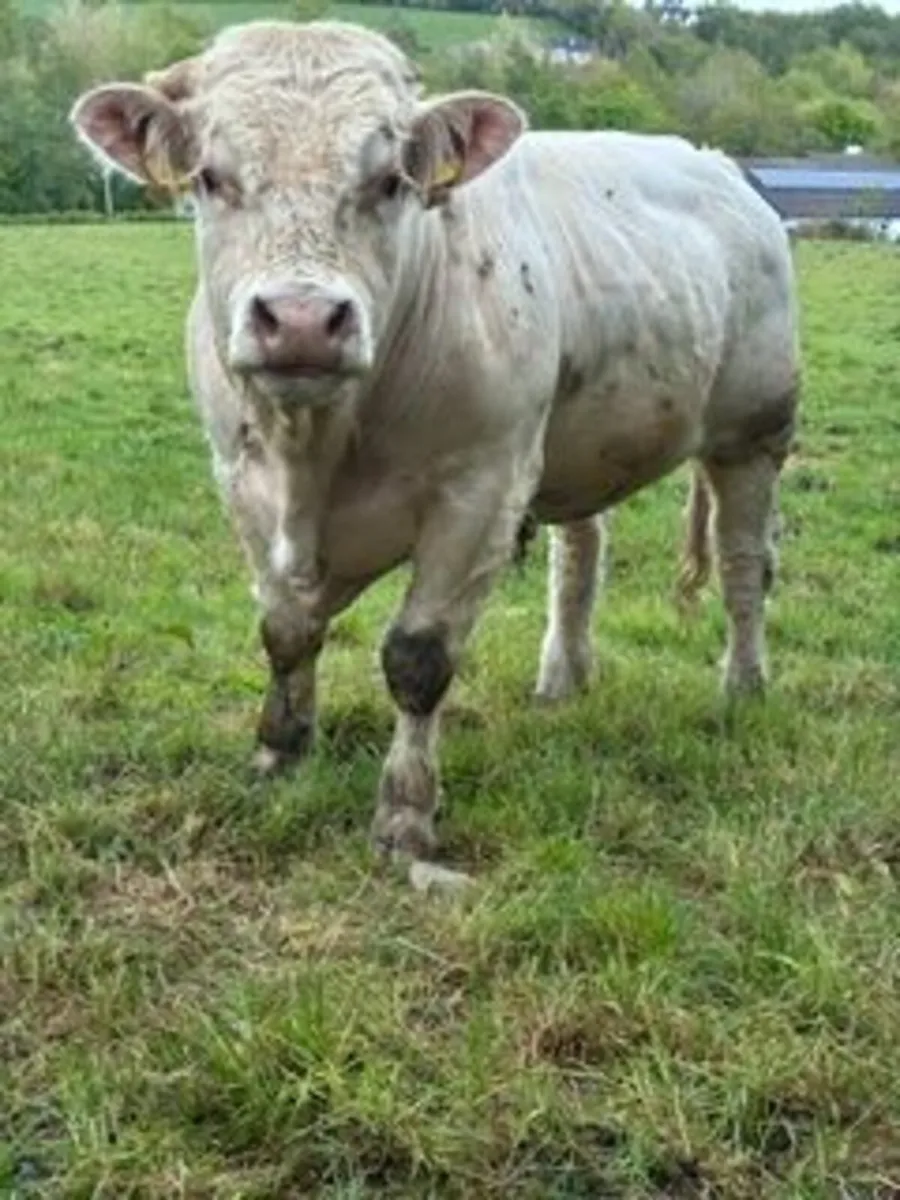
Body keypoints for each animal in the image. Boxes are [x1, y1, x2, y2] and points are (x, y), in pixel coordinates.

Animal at [70, 20, 799, 884]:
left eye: (390, 181)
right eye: (212, 178)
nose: (303, 320)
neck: (315, 451)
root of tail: (717, 164)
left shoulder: (478, 491)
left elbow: (416, 661)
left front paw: (405, 816)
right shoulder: (242, 482)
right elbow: (285, 630)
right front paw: (279, 757)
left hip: (753, 432)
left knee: (744, 566)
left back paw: (744, 687)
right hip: (574, 444)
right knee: (579, 556)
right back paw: (562, 678)